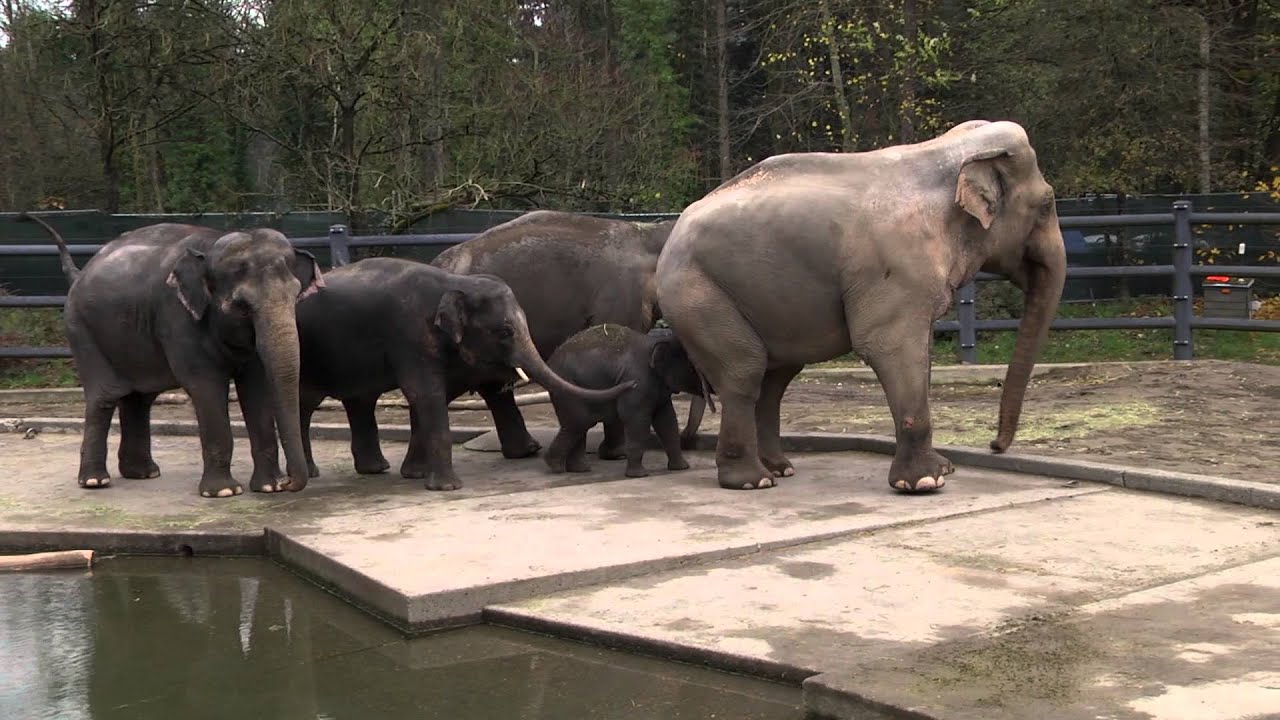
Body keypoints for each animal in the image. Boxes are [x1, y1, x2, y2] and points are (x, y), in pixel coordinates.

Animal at [21, 215, 323, 498]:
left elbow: (256, 387)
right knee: (104, 396)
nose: (288, 481)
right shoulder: (177, 318)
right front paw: (223, 492)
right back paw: (96, 482)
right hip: (81, 331)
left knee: (139, 399)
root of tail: (80, 273)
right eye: (241, 305)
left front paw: (269, 487)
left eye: (296, 294)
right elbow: (205, 386)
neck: (211, 245)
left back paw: (143, 473)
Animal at [288, 258, 635, 491]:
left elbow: (431, 398)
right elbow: (425, 394)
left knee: (360, 400)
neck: (454, 283)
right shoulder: (408, 336)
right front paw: (447, 488)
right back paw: (313, 473)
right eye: (505, 331)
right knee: (304, 405)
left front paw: (415, 475)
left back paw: (374, 469)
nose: (630, 382)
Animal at [425, 210, 709, 459]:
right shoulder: (621, 296)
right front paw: (617, 454)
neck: (649, 234)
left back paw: (526, 451)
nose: (688, 440)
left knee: (493, 385)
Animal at [544, 325, 712, 478]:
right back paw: (555, 466)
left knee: (579, 425)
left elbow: (667, 420)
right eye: (694, 365)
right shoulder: (638, 382)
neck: (655, 341)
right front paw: (639, 475)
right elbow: (636, 419)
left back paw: (578, 469)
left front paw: (681, 468)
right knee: (579, 422)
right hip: (567, 389)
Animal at [654, 119, 1067, 493]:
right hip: (697, 294)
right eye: (1047, 205)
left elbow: (922, 351)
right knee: (744, 371)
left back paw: (781, 469)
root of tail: (672, 234)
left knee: (775, 377)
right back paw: (753, 482)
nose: (995, 446)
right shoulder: (896, 267)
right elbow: (889, 346)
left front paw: (943, 469)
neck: (948, 152)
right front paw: (925, 482)